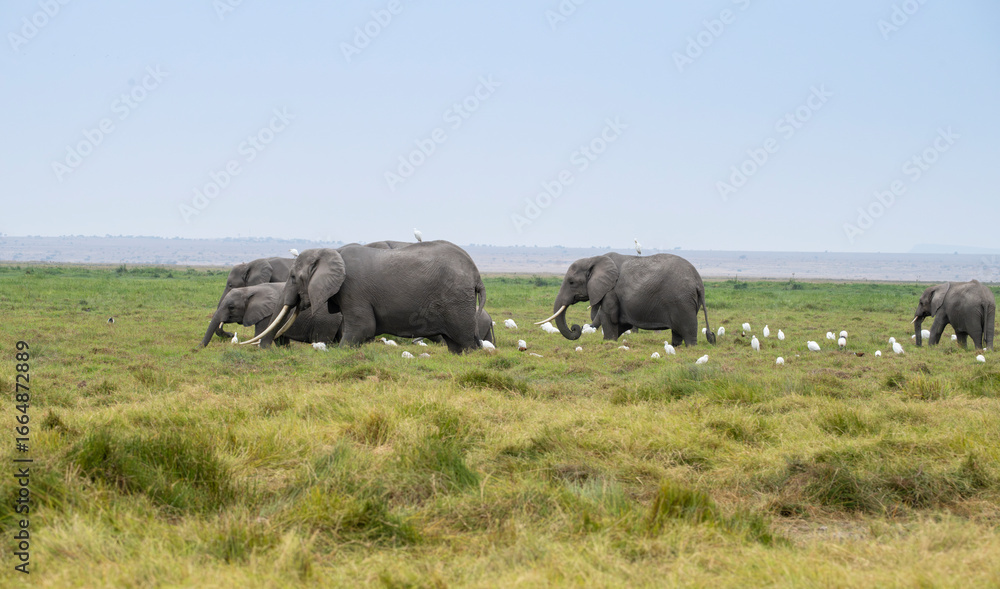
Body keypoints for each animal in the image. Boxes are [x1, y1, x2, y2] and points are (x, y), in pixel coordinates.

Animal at [200, 283, 342, 349]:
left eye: (231, 307)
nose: (198, 348)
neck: (250, 289)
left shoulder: (268, 314)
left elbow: (260, 333)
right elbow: (280, 340)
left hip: (326, 321)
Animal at [244, 241, 486, 354]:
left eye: (293, 277)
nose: (266, 350)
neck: (332, 251)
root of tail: (477, 274)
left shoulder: (353, 289)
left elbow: (362, 328)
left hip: (456, 300)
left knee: (465, 342)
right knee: (455, 344)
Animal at [539, 252, 715, 346]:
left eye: (571, 282)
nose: (576, 328)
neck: (594, 259)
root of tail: (699, 282)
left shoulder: (611, 291)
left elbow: (608, 318)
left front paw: (609, 343)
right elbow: (620, 323)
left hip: (681, 301)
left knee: (687, 329)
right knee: (677, 331)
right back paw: (675, 347)